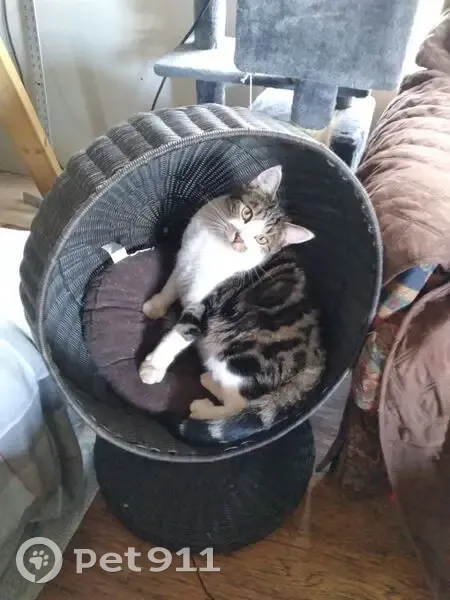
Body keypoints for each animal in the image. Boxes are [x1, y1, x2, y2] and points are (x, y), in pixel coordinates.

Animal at [139, 165, 326, 441]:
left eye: (261, 239)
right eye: (246, 214)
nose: (239, 237)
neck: (215, 244)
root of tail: (317, 358)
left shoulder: (206, 302)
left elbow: (180, 333)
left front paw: (153, 366)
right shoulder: (184, 262)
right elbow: (172, 284)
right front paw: (156, 304)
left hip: (239, 351)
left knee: (241, 402)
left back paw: (204, 404)